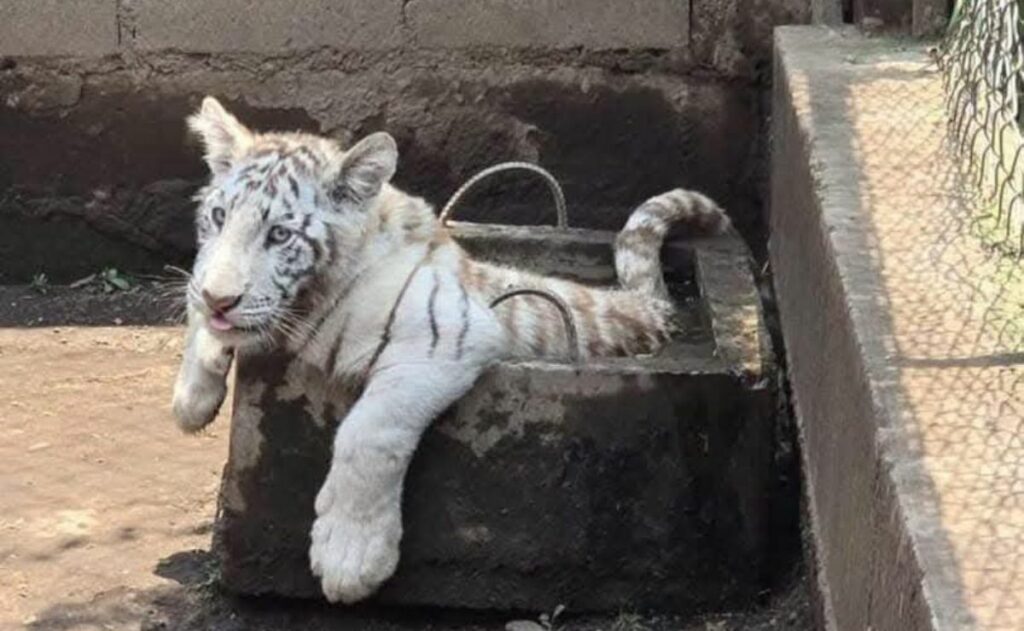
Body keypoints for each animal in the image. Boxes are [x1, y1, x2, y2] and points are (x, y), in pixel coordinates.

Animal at [171, 97, 730, 604]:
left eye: (280, 234)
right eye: (218, 217)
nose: (220, 299)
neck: (311, 299)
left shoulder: (448, 334)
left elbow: (367, 432)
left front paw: (350, 557)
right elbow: (199, 300)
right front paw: (192, 398)